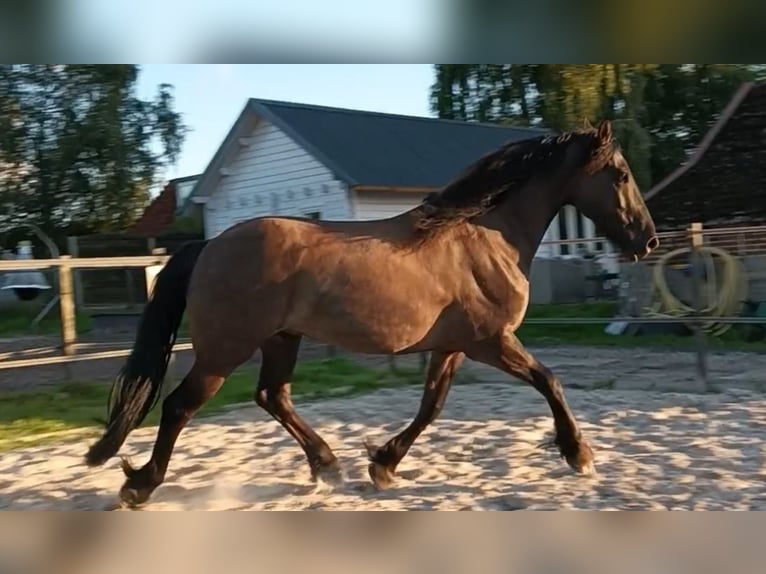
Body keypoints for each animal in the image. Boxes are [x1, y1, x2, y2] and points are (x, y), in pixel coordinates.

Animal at [84, 118, 660, 508]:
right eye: (620, 173)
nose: (648, 241)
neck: (488, 238)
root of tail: (207, 247)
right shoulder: (490, 341)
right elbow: (550, 381)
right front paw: (578, 454)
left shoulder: (452, 347)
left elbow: (431, 408)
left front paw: (383, 464)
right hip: (224, 350)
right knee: (180, 406)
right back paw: (140, 486)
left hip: (281, 338)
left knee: (272, 395)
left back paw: (327, 466)